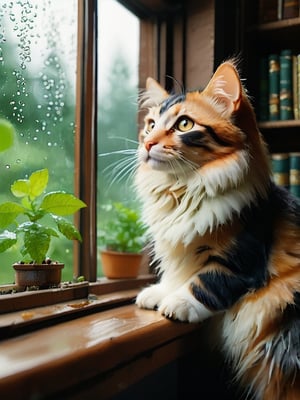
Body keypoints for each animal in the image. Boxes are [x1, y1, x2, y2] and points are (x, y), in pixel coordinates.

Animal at [135, 60, 300, 400]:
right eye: (150, 124)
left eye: (184, 125)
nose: (147, 143)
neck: (182, 190)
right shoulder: (181, 251)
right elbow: (177, 274)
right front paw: (158, 292)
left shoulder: (242, 258)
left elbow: (205, 283)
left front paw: (177, 303)